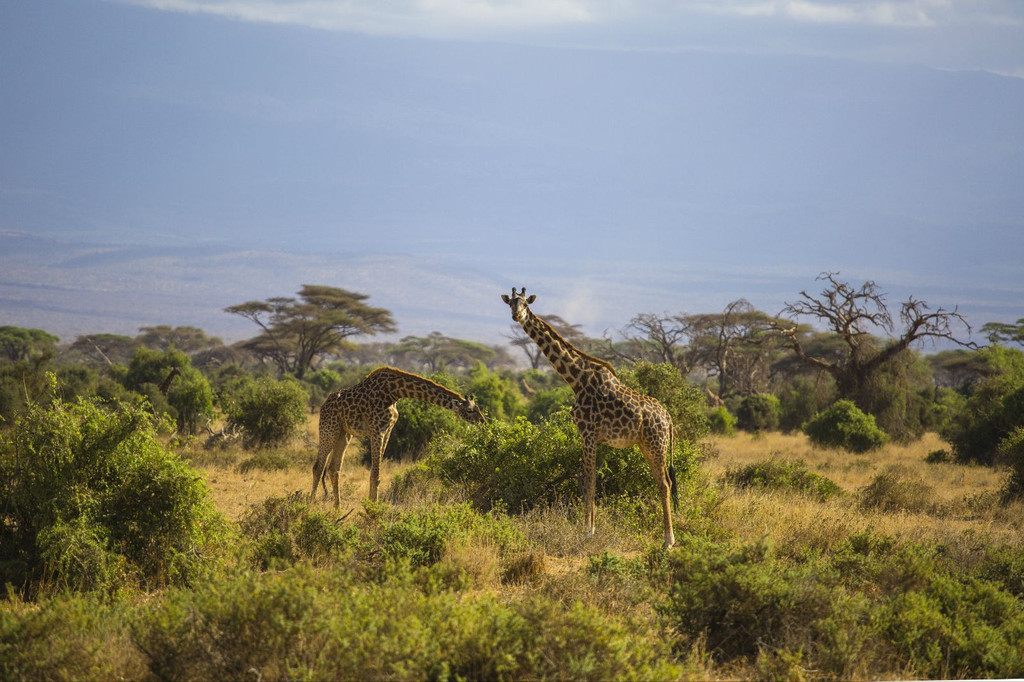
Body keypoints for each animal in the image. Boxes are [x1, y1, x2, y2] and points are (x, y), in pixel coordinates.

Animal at [307, 366, 483, 503]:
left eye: (478, 408)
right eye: (470, 410)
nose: (483, 421)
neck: (395, 393)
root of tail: (323, 404)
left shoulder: (387, 431)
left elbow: (376, 474)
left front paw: (372, 505)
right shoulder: (376, 430)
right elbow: (375, 474)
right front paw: (372, 511)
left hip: (344, 434)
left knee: (333, 469)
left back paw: (338, 508)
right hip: (329, 429)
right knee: (318, 467)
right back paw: (310, 506)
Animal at [503, 286, 679, 548]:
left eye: (525, 303)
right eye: (510, 304)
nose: (517, 316)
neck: (577, 380)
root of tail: (668, 419)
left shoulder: (588, 434)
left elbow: (589, 481)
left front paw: (588, 530)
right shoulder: (590, 437)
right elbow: (591, 481)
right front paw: (589, 527)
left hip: (656, 444)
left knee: (665, 483)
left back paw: (668, 540)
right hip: (647, 445)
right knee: (662, 481)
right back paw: (667, 537)